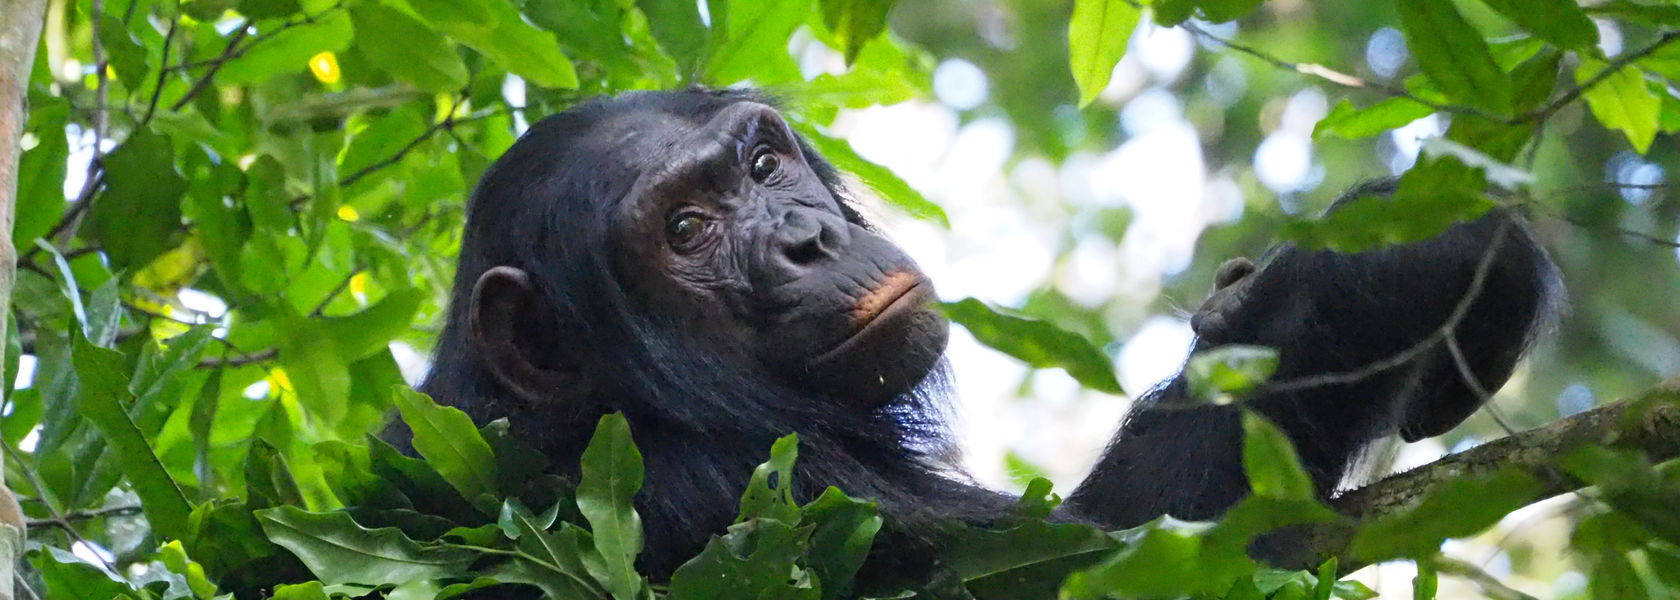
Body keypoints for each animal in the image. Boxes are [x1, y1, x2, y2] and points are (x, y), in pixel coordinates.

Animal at [409, 89, 1559, 584]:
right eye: (685, 231)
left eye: (763, 166)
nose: (804, 241)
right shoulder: (751, 494)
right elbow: (1118, 552)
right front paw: (1410, 259)